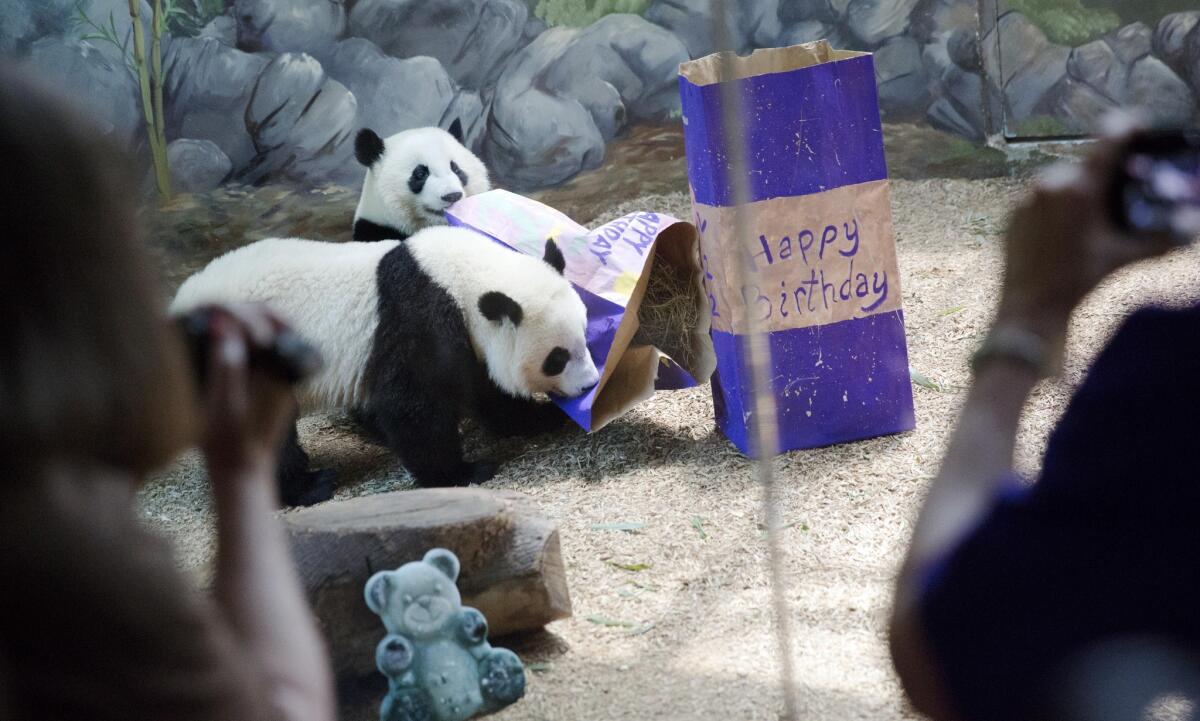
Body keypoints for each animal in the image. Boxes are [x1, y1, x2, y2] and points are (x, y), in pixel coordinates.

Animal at [169, 227, 600, 503]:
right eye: (556, 358)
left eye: (585, 336)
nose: (588, 385)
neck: (457, 276)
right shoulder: (418, 317)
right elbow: (412, 406)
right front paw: (462, 472)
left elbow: (487, 392)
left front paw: (540, 418)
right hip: (232, 350)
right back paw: (310, 486)